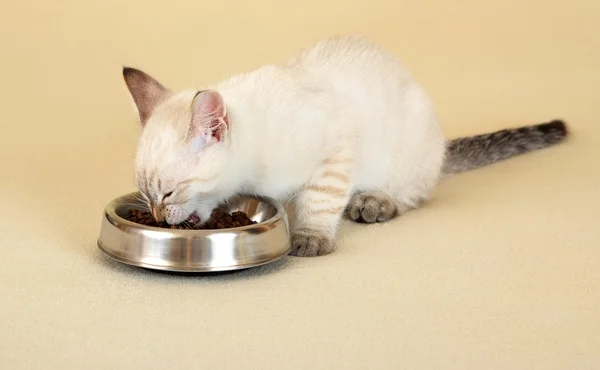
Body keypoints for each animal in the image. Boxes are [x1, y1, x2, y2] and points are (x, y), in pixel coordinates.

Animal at [122, 34, 568, 258]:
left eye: (168, 193)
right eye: (146, 197)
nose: (158, 217)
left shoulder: (334, 154)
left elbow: (319, 202)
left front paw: (309, 238)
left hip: (407, 150)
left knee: (413, 194)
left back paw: (373, 203)